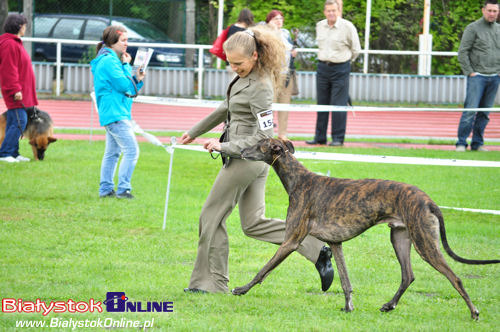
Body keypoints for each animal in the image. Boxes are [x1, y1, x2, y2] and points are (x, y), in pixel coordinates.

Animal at [235, 137, 500, 320]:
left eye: (259, 144)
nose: (240, 151)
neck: (299, 180)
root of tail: (427, 200)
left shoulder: (291, 240)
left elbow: (263, 270)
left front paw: (241, 289)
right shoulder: (336, 243)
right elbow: (345, 281)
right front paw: (348, 307)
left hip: (424, 242)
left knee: (454, 277)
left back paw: (474, 312)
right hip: (400, 238)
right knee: (408, 275)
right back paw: (389, 305)